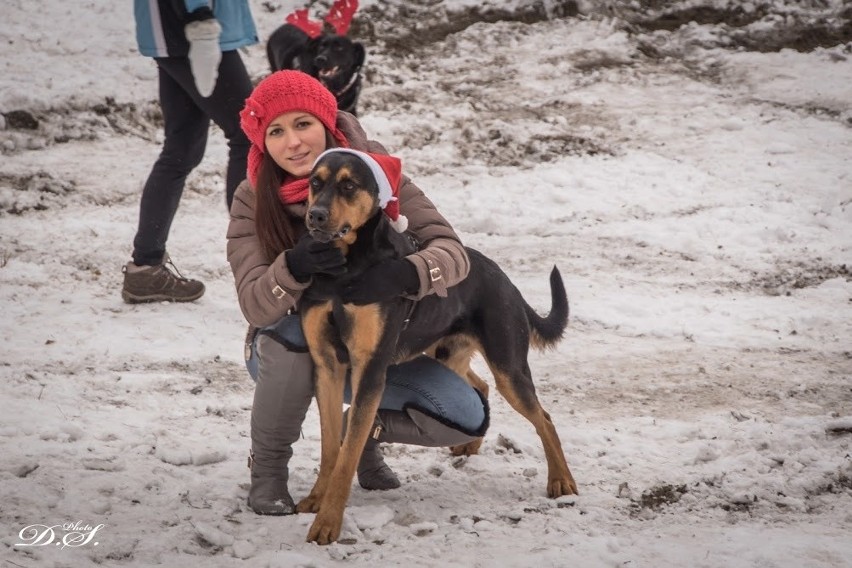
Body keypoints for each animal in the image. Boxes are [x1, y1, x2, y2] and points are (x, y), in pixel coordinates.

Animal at [294, 149, 580, 544]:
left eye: (349, 185)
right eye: (314, 182)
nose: (316, 215)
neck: (346, 268)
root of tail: (506, 281)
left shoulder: (370, 369)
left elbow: (348, 451)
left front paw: (328, 521)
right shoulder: (327, 365)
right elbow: (328, 446)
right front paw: (316, 499)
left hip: (509, 367)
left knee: (544, 417)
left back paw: (561, 480)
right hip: (445, 354)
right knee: (480, 386)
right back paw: (472, 444)